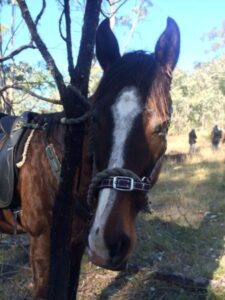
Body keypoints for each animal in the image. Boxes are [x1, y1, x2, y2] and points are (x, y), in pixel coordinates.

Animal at [0, 17, 180, 298]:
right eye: (94, 120)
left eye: (162, 127)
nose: (107, 242)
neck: (64, 168)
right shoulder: (41, 247)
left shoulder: (74, 246)